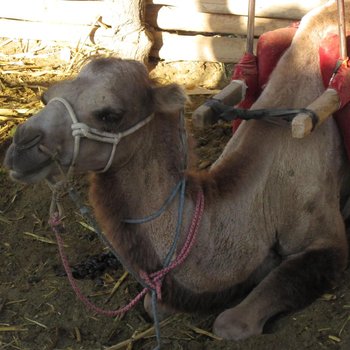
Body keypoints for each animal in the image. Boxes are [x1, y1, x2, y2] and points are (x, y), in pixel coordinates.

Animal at [4, 1, 350, 342]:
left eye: (109, 114)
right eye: (46, 96)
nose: (20, 147)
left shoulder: (325, 239)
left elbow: (231, 322)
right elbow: (151, 302)